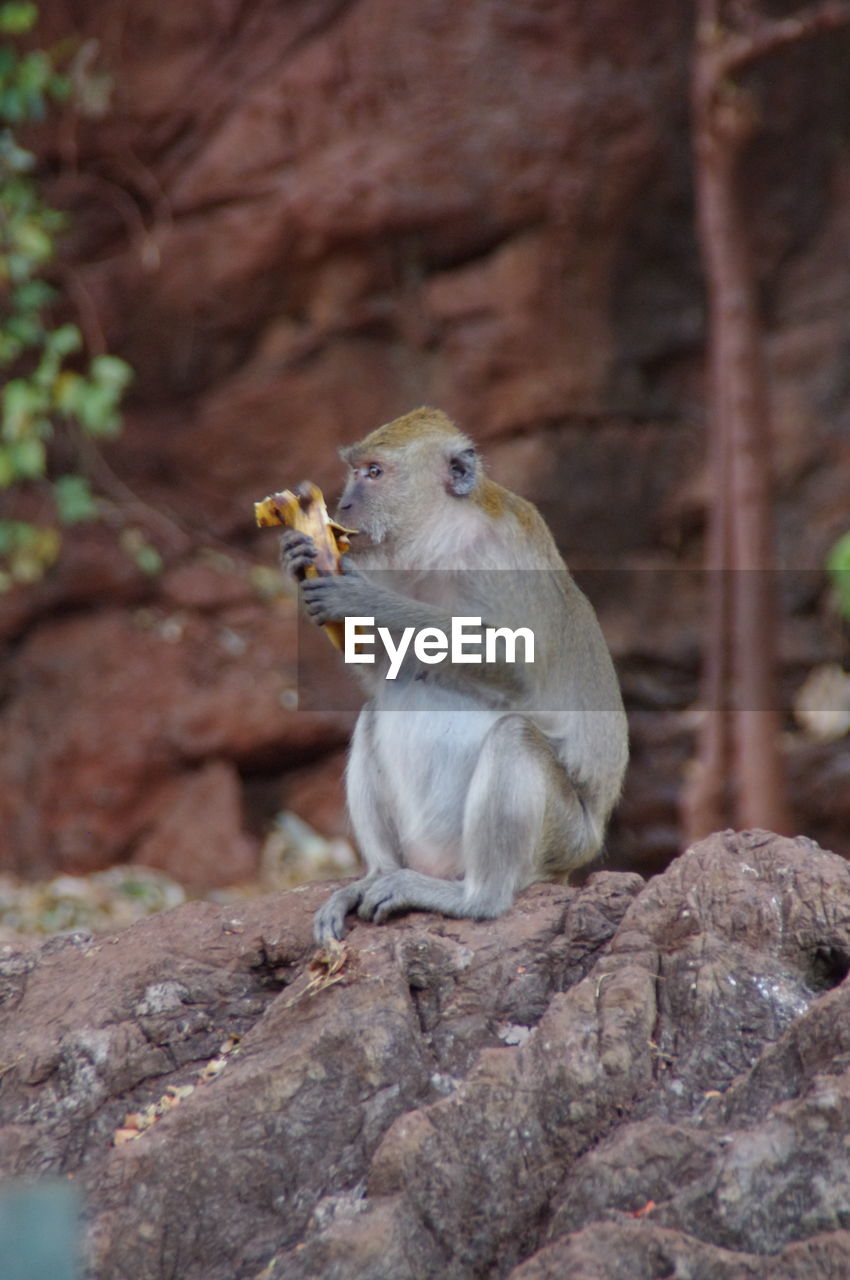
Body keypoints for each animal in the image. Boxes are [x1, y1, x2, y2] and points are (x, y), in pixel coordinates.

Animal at [280, 409, 629, 942]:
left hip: (564, 840)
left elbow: (518, 665)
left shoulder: (500, 559)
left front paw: (363, 598)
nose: (344, 504)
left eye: (374, 472)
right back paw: (377, 876)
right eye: (355, 471)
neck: (443, 543)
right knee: (374, 710)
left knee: (514, 738)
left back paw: (475, 899)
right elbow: (385, 672)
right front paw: (300, 557)